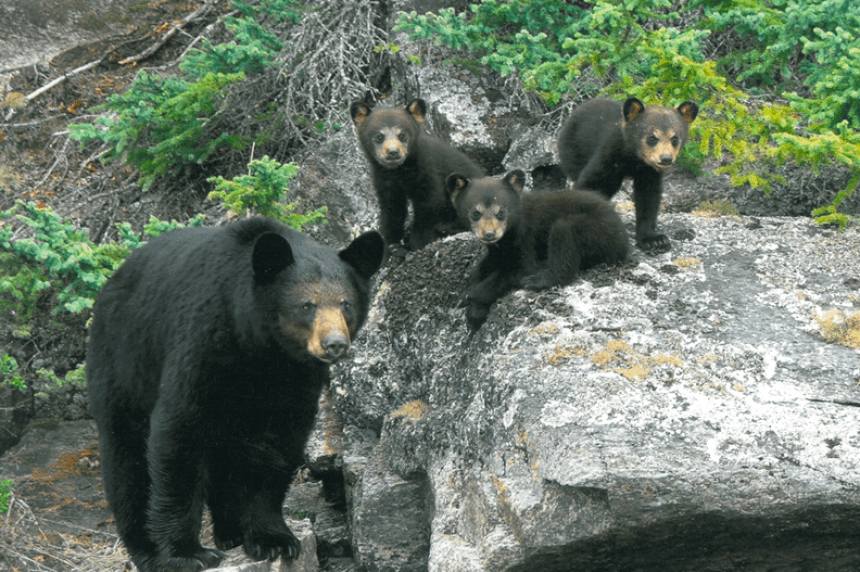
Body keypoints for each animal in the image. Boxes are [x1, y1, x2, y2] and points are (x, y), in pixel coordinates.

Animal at [86, 217, 384, 572]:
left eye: (346, 304)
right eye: (306, 306)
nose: (335, 344)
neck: (262, 350)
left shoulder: (295, 379)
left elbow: (277, 446)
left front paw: (273, 540)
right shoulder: (202, 342)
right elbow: (178, 433)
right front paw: (188, 552)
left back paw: (230, 532)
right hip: (124, 361)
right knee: (127, 460)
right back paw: (146, 550)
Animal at [350, 98, 484, 259]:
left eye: (402, 135)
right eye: (379, 136)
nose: (393, 152)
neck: (400, 171)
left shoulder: (428, 170)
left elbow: (430, 204)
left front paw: (412, 246)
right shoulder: (384, 181)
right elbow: (391, 212)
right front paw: (390, 249)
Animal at [447, 170, 629, 330]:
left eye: (501, 213)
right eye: (475, 213)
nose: (489, 234)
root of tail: (624, 238)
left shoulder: (526, 237)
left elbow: (518, 269)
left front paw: (470, 296)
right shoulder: (499, 248)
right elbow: (485, 264)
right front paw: (468, 294)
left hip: (599, 232)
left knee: (564, 231)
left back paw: (537, 280)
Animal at [557, 97, 699, 252]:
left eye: (674, 138)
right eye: (652, 138)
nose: (666, 158)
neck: (633, 158)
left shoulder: (648, 172)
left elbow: (649, 197)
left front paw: (654, 240)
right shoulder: (609, 154)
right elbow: (593, 183)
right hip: (573, 150)